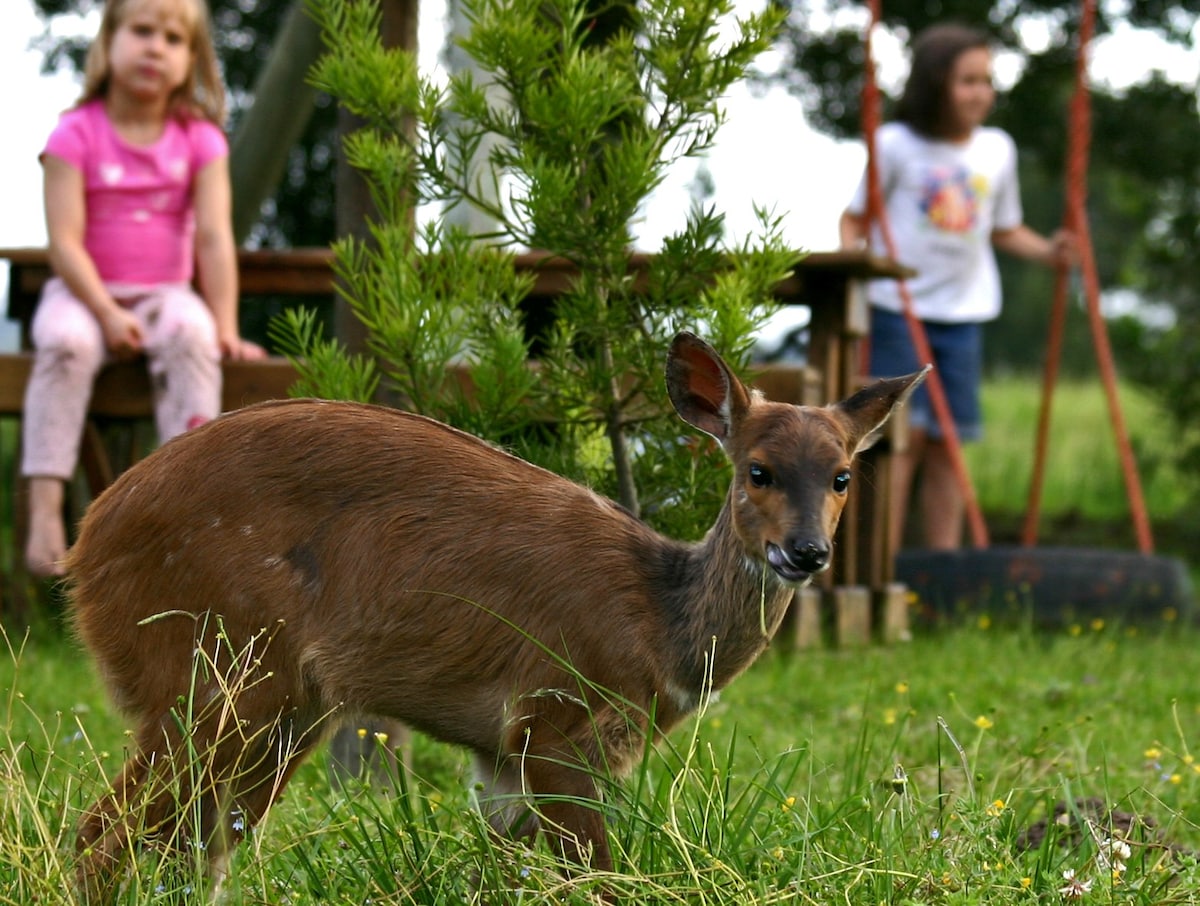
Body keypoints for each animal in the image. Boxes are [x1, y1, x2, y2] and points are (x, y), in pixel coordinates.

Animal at [68, 336, 926, 902]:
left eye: (842, 475)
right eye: (758, 470)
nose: (807, 551)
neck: (659, 626)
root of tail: (83, 549)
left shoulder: (500, 759)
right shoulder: (554, 721)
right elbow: (602, 877)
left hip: (279, 712)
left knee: (189, 851)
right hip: (213, 674)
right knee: (103, 837)